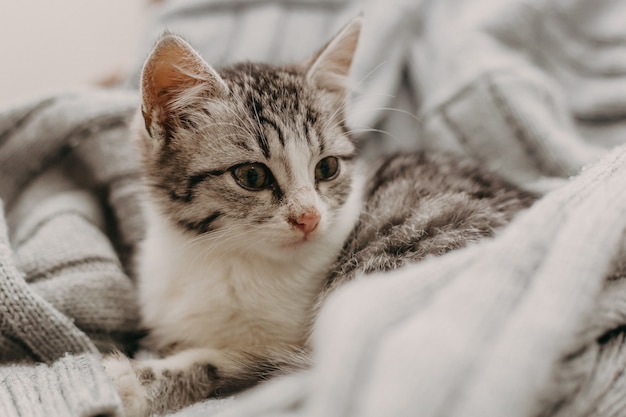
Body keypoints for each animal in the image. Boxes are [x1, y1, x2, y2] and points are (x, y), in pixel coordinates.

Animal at [102, 17, 532, 416]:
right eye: (252, 176)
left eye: (327, 168)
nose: (309, 217)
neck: (218, 254)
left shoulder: (290, 346)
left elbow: (237, 363)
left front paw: (135, 380)